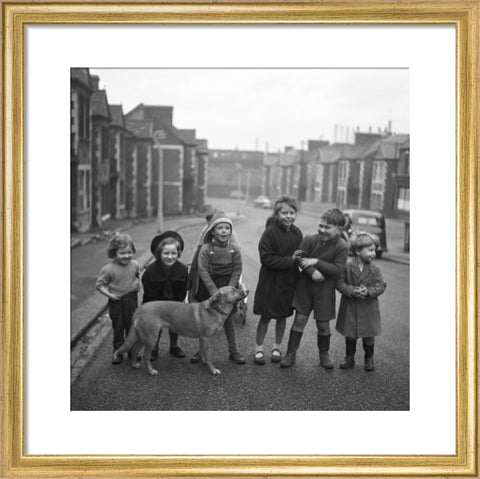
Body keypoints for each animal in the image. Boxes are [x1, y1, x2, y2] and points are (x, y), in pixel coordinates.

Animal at [112, 286, 248, 376]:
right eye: (233, 290)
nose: (247, 291)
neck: (215, 310)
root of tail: (140, 308)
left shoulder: (202, 339)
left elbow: (203, 353)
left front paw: (203, 362)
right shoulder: (205, 338)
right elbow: (209, 356)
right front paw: (212, 369)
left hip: (142, 336)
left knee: (134, 350)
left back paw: (134, 365)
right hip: (151, 338)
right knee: (146, 356)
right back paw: (151, 371)